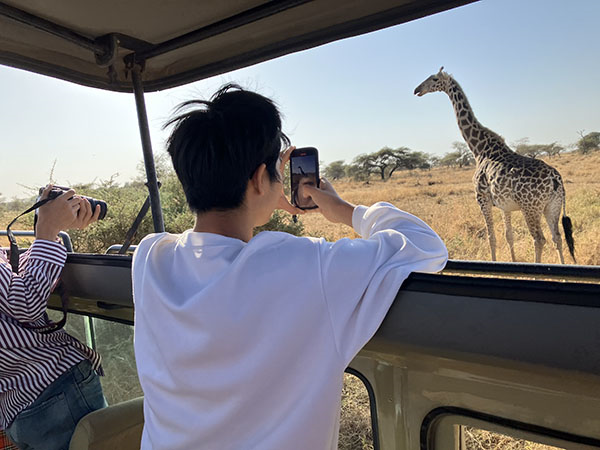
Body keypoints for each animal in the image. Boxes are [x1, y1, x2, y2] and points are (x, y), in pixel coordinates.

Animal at [414, 67, 576, 264]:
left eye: (434, 79)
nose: (417, 90)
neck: (479, 149)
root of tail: (556, 179)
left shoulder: (482, 198)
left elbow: (491, 237)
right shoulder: (504, 205)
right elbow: (508, 235)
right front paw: (513, 262)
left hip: (531, 207)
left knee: (539, 239)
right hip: (552, 206)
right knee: (557, 237)